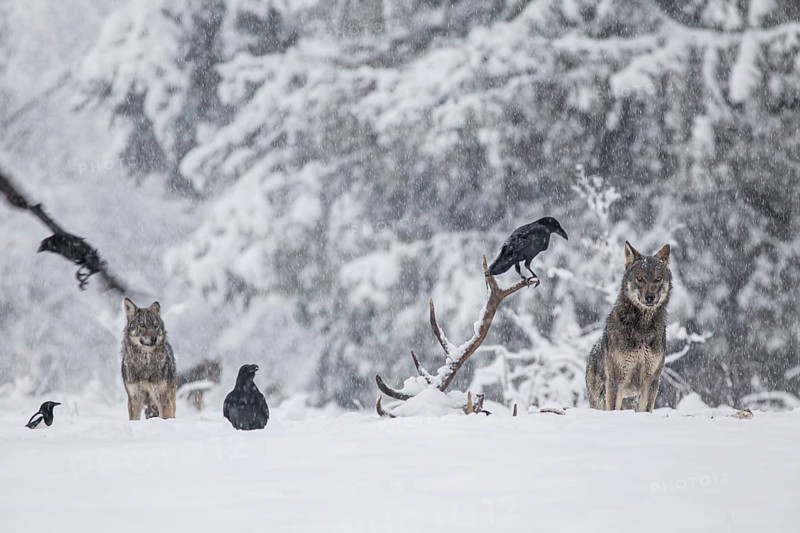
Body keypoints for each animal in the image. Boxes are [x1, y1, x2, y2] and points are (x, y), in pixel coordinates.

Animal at [585, 242, 672, 412]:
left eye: (658, 279)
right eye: (639, 278)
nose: (650, 297)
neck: (643, 327)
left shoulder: (652, 379)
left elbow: (646, 409)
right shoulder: (617, 378)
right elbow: (613, 409)